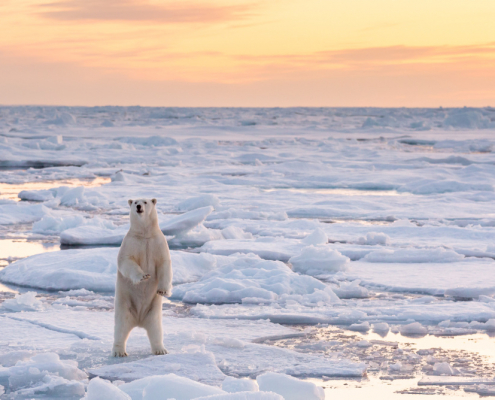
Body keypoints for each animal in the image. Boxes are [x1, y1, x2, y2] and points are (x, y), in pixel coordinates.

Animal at [113, 198, 173, 358]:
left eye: (145, 202)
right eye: (135, 202)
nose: (139, 206)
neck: (145, 235)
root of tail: (139, 321)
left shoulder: (158, 242)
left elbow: (165, 264)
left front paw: (163, 291)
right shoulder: (131, 243)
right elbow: (126, 261)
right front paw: (144, 276)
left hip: (153, 313)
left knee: (156, 330)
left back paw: (161, 350)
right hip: (125, 308)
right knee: (120, 329)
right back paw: (119, 351)